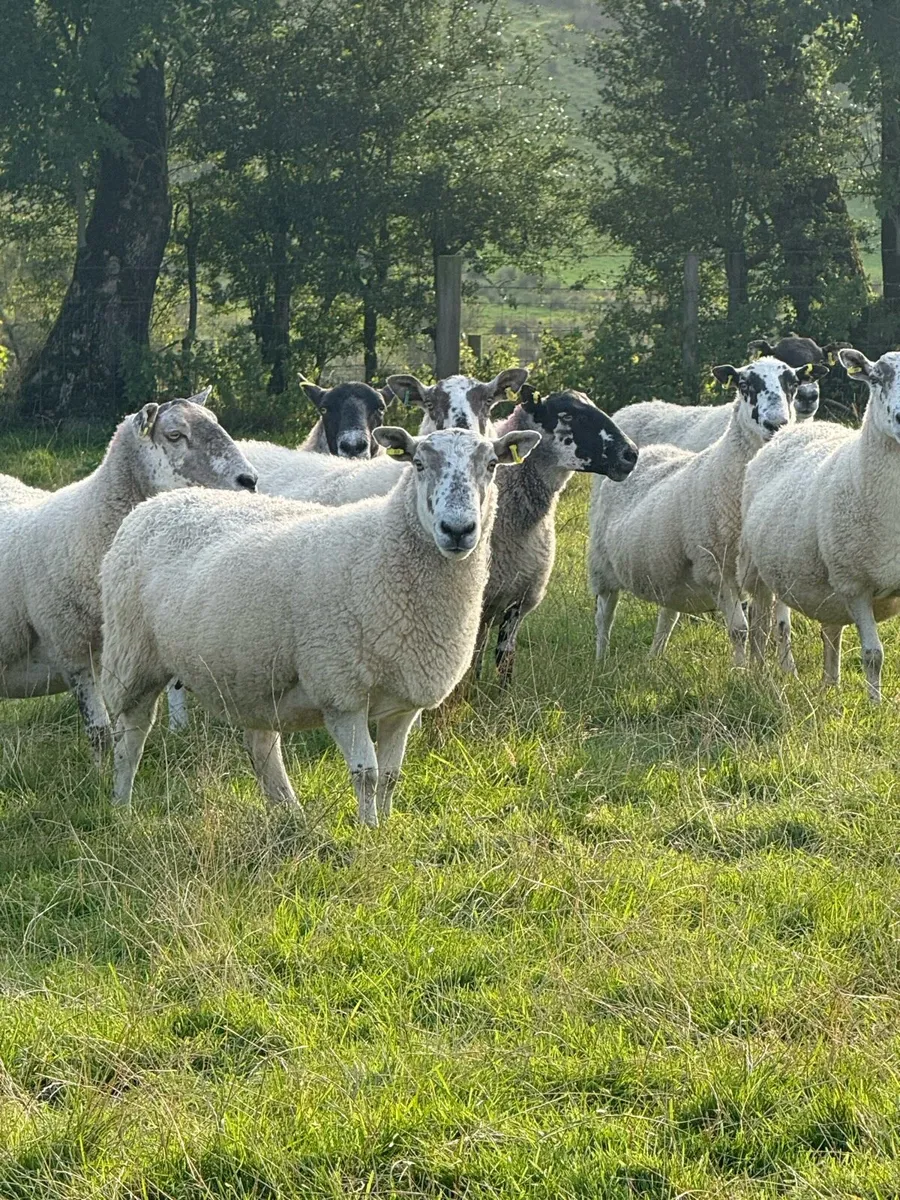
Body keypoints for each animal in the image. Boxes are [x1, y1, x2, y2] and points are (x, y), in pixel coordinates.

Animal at [0, 393, 258, 756]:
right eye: (175, 435)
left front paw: (177, 729)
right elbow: (100, 732)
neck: (89, 524)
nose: (250, 480)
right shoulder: (72, 650)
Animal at [99, 425, 541, 824]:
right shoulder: (342, 691)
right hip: (133, 655)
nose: (458, 530)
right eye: (418, 464)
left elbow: (391, 776)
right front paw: (367, 833)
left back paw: (289, 814)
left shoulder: (404, 701)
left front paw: (387, 828)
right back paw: (121, 806)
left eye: (492, 465)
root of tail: (160, 500)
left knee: (261, 744)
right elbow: (367, 774)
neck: (383, 550)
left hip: (252, 671)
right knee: (130, 737)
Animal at [589, 357, 817, 663]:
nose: (776, 424)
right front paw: (740, 671)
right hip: (601, 564)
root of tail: (649, 450)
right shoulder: (715, 569)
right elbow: (739, 631)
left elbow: (781, 627)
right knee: (605, 614)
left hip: (668, 568)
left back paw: (654, 657)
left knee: (667, 614)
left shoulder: (773, 569)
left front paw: (787, 669)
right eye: (744, 385)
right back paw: (600, 659)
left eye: (792, 383)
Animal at [739, 349, 900, 704]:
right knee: (760, 623)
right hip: (758, 568)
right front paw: (875, 706)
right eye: (876, 378)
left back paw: (830, 684)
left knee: (830, 629)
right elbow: (873, 654)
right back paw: (758, 675)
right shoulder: (855, 584)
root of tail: (793, 430)